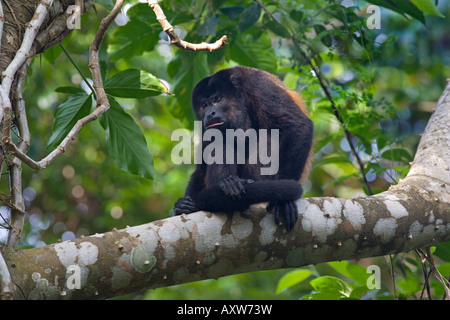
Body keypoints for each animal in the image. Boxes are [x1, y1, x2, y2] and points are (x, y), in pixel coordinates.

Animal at [172, 65, 312, 230]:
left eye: (218, 99)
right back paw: (228, 186)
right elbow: (201, 168)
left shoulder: (257, 84)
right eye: (204, 105)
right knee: (221, 142)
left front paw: (284, 201)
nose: (210, 114)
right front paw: (183, 205)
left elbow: (297, 125)